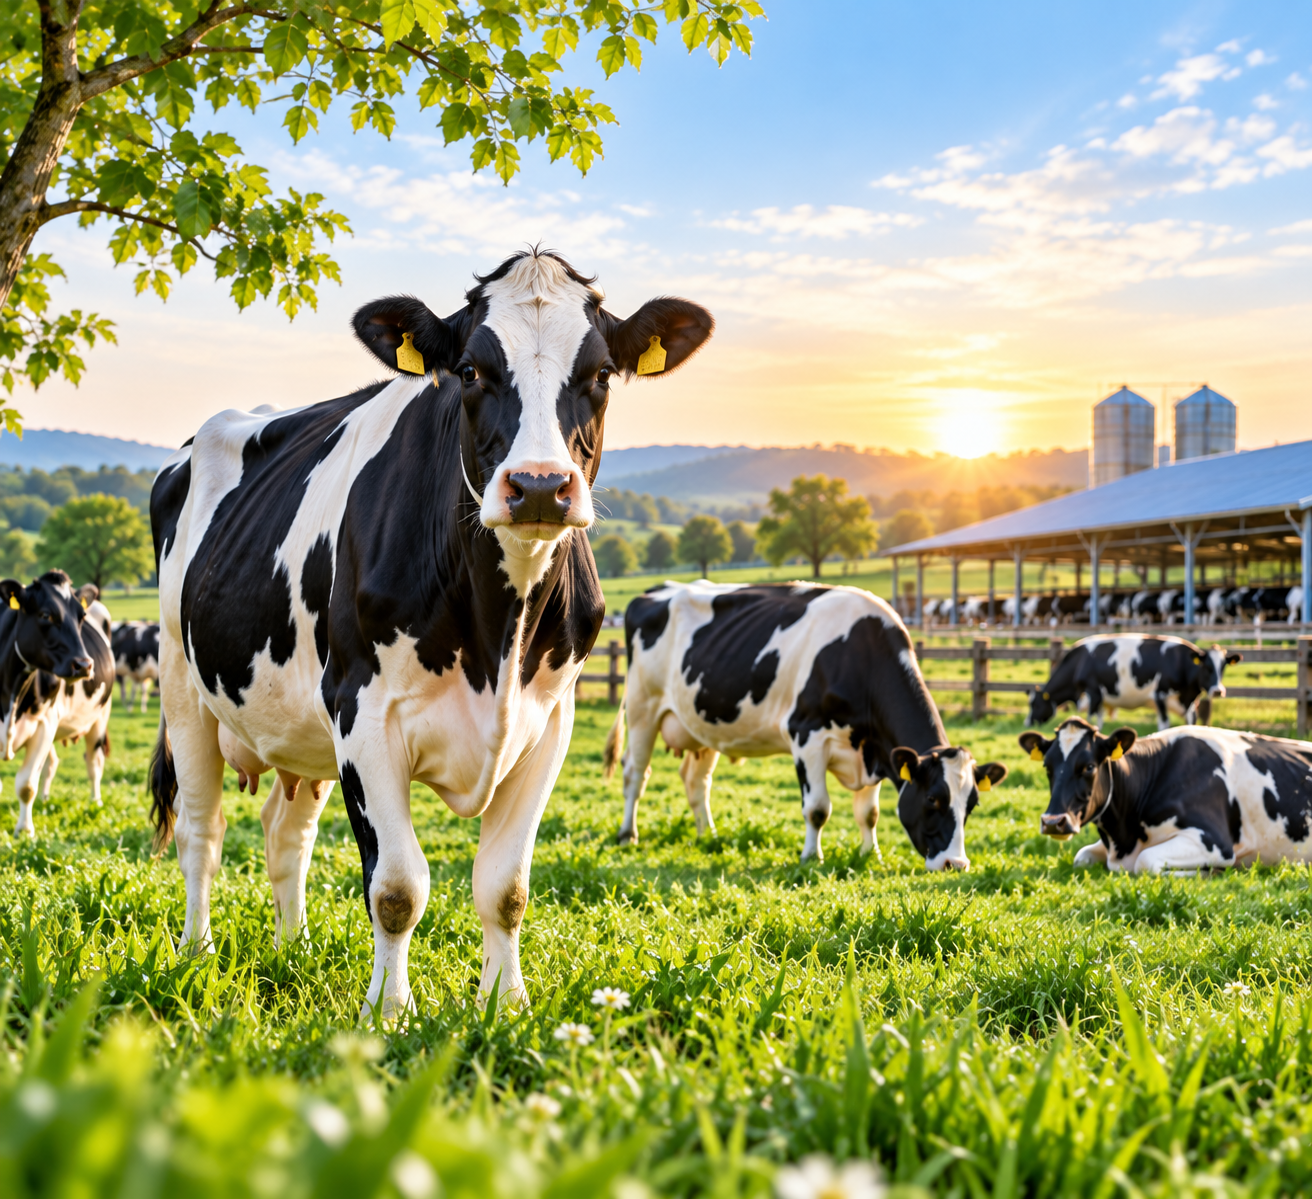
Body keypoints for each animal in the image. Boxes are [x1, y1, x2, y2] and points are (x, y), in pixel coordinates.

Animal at [0, 572, 114, 835]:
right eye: (45, 615)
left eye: (81, 617)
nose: (84, 665)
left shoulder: (45, 723)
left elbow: (26, 784)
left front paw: (25, 831)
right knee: (51, 764)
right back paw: (45, 800)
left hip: (100, 716)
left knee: (94, 763)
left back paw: (95, 802)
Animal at [148, 249, 714, 1019]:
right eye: (470, 370)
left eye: (600, 374)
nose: (540, 486)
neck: (499, 628)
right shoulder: (363, 713)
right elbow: (395, 888)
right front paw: (389, 1012)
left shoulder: (549, 723)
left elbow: (505, 888)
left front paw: (506, 1006)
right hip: (185, 691)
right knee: (201, 831)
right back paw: (197, 954)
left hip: (301, 727)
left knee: (284, 834)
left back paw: (294, 950)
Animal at [601, 580, 1008, 870]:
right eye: (932, 799)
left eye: (972, 804)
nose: (955, 864)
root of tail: (657, 590)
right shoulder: (807, 735)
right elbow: (818, 808)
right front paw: (812, 858)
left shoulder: (876, 751)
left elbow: (869, 813)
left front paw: (870, 855)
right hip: (642, 706)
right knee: (635, 773)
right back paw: (627, 834)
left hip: (701, 724)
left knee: (695, 782)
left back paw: (709, 837)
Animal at [1021, 718, 1312, 872]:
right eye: (1047, 766)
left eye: (1089, 766)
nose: (1052, 822)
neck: (1122, 839)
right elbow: (1081, 857)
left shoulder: (1213, 840)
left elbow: (1146, 862)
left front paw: (1211, 871)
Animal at [1025, 634, 1241, 731]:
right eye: (1207, 667)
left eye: (1222, 667)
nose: (1218, 691)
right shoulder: (1098, 696)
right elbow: (1097, 720)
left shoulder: (1094, 691)